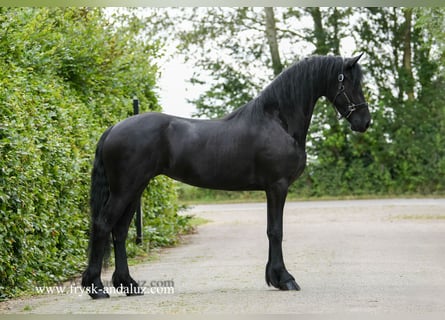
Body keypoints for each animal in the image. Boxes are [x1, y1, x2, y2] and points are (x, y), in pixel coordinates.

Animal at [81, 53, 370, 298]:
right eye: (349, 83)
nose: (364, 122)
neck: (277, 121)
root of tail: (113, 128)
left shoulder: (273, 188)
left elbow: (272, 230)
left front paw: (274, 277)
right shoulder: (277, 186)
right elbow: (275, 231)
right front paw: (284, 279)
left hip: (135, 188)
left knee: (120, 231)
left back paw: (128, 285)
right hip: (125, 189)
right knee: (104, 225)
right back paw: (96, 287)